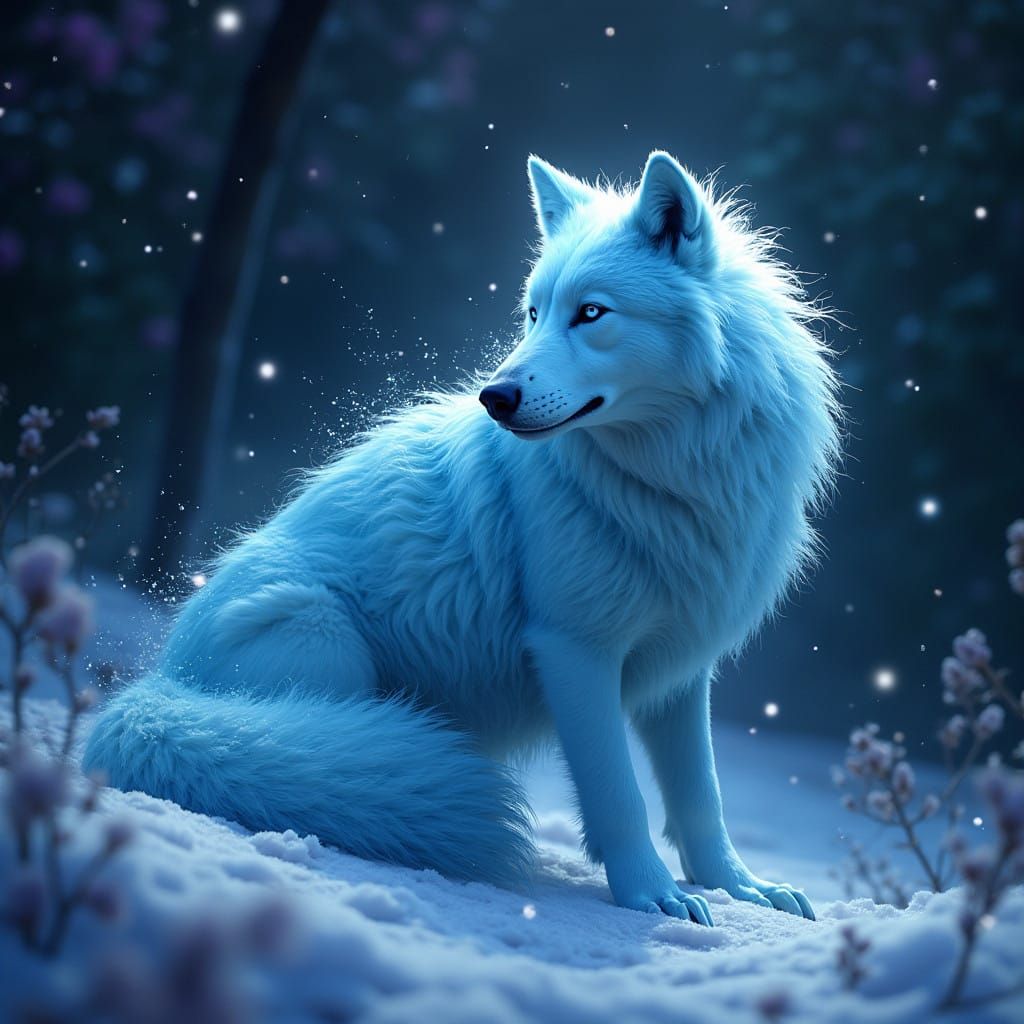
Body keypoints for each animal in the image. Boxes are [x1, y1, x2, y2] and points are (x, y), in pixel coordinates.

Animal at [85, 152, 839, 925]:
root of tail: (157, 685)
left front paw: (740, 888)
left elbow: (701, 797)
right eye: (533, 313)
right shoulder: (573, 649)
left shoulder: (682, 668)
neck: (670, 481)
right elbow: (619, 795)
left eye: (590, 313)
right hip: (321, 638)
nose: (495, 397)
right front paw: (649, 896)